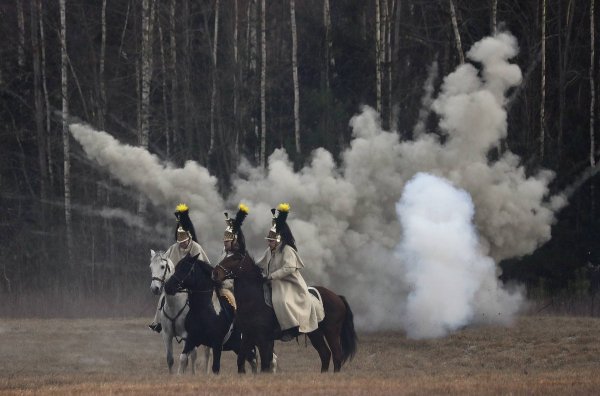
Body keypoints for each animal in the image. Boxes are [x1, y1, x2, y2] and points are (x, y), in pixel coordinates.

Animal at [212, 252, 356, 372]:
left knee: (336, 355)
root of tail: (337, 297)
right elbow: (241, 360)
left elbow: (265, 364)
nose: (215, 273)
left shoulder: (263, 339)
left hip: (331, 331)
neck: (253, 300)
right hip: (315, 333)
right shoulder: (248, 337)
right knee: (325, 354)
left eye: (234, 258)